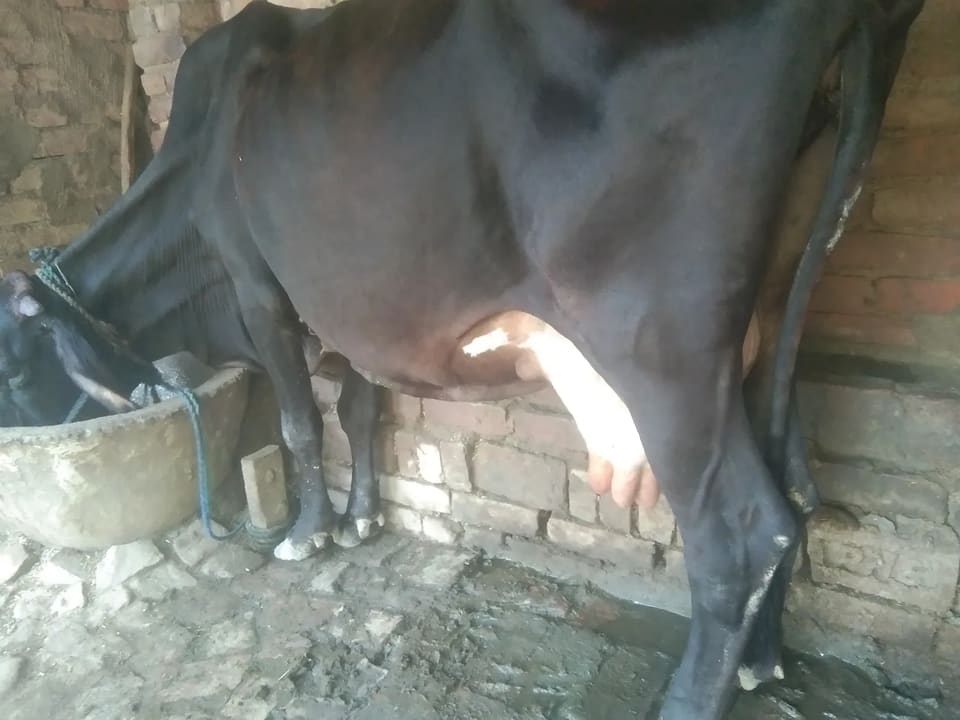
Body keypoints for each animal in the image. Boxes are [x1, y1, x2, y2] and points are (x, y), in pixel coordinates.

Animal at [0, 1, 924, 717]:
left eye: (11, 369)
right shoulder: (353, 301)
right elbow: (357, 406)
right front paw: (363, 516)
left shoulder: (257, 285)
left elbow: (300, 424)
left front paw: (308, 532)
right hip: (767, 320)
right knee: (794, 487)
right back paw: (763, 661)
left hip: (663, 349)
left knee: (741, 534)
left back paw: (690, 699)